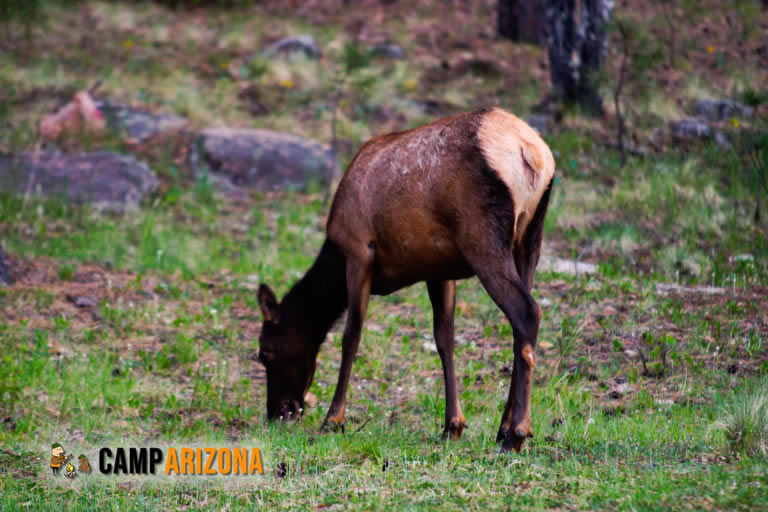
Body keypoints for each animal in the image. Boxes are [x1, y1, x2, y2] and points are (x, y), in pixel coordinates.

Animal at [256, 106, 552, 450]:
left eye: (265, 353)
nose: (277, 412)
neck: (334, 252)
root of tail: (532, 153)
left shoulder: (359, 251)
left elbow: (350, 337)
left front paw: (333, 419)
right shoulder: (439, 271)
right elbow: (444, 339)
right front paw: (452, 424)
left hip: (482, 236)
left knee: (526, 312)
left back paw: (516, 432)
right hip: (529, 240)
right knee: (521, 326)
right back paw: (504, 428)